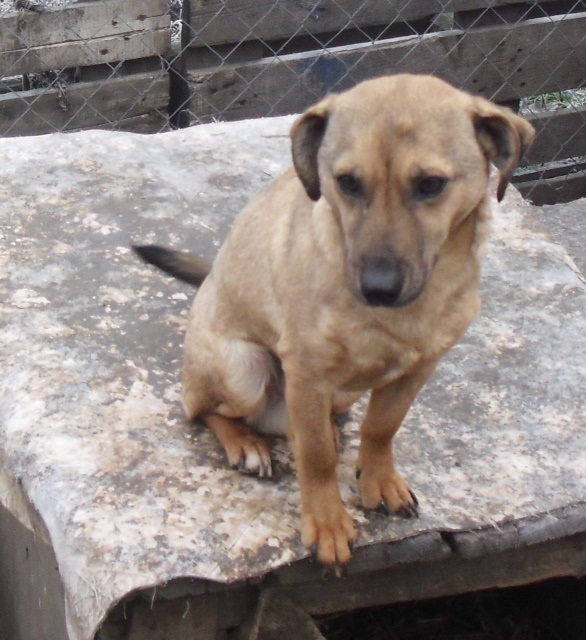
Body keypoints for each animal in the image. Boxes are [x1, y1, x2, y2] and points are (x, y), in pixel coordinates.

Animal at [133, 74, 534, 569]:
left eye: (430, 184)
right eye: (347, 183)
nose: (377, 288)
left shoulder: (418, 370)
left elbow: (382, 427)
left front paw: (378, 478)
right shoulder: (307, 373)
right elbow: (317, 457)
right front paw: (326, 523)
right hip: (244, 368)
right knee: (203, 409)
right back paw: (245, 443)